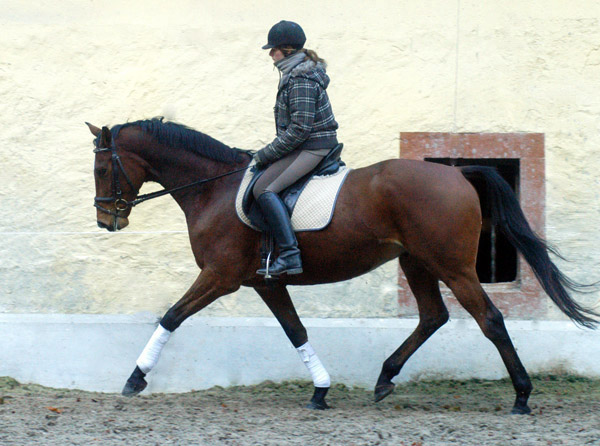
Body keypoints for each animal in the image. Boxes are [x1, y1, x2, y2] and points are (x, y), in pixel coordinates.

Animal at [86, 117, 596, 414]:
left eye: (101, 169)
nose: (107, 220)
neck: (213, 187)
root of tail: (456, 174)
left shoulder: (221, 276)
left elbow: (172, 315)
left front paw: (134, 378)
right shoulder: (264, 283)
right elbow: (295, 331)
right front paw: (321, 390)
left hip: (452, 265)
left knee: (489, 318)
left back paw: (522, 395)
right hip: (416, 261)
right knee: (433, 316)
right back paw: (385, 379)